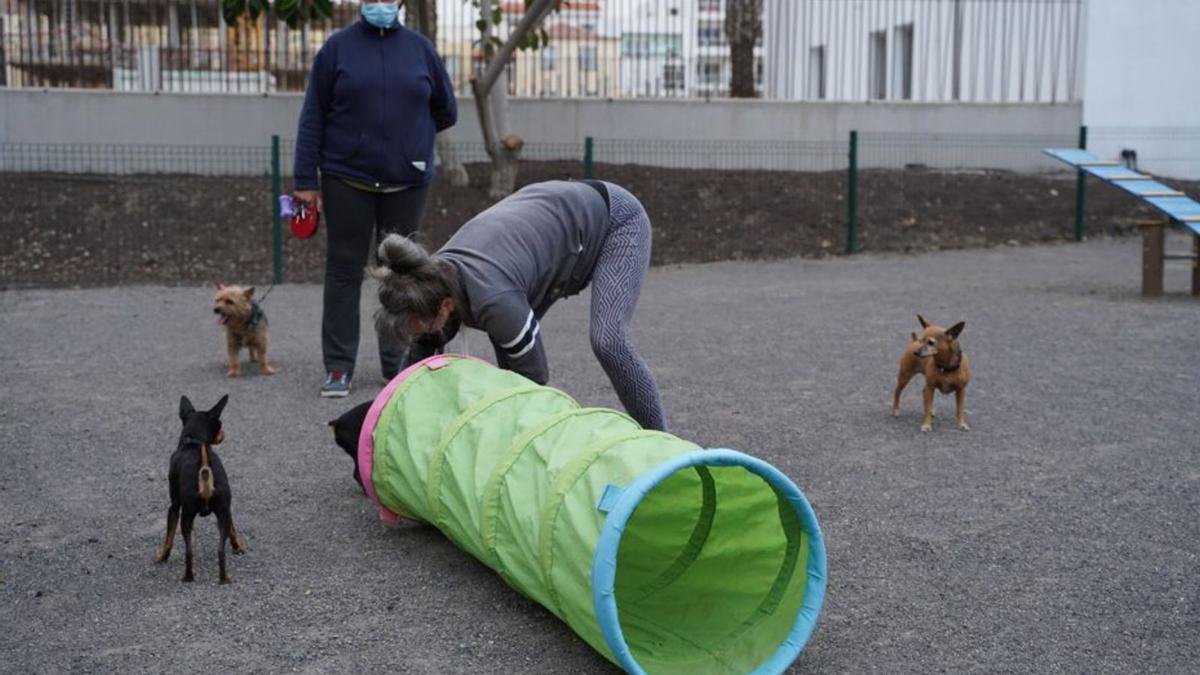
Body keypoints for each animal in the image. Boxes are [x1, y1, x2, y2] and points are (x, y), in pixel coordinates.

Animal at [157, 391, 246, 581]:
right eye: (219, 424)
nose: (223, 432)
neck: (193, 441)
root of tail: (204, 470)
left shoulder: (174, 506)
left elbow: (169, 537)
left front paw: (162, 556)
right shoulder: (227, 510)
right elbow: (233, 530)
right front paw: (237, 547)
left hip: (187, 516)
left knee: (188, 552)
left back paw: (188, 577)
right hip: (221, 514)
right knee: (221, 551)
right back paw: (224, 579)